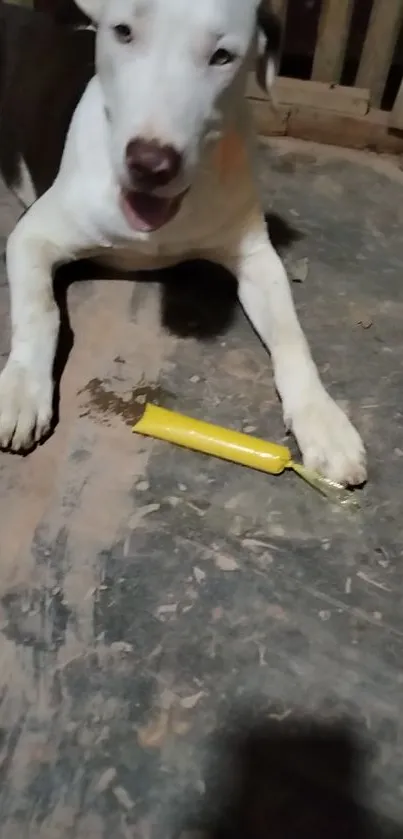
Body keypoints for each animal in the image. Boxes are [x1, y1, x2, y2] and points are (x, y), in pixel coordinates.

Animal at [0, 0, 368, 486]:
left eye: (222, 56)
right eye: (123, 32)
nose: (151, 164)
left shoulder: (258, 258)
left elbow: (292, 336)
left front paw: (323, 421)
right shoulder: (32, 234)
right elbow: (39, 311)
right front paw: (23, 388)